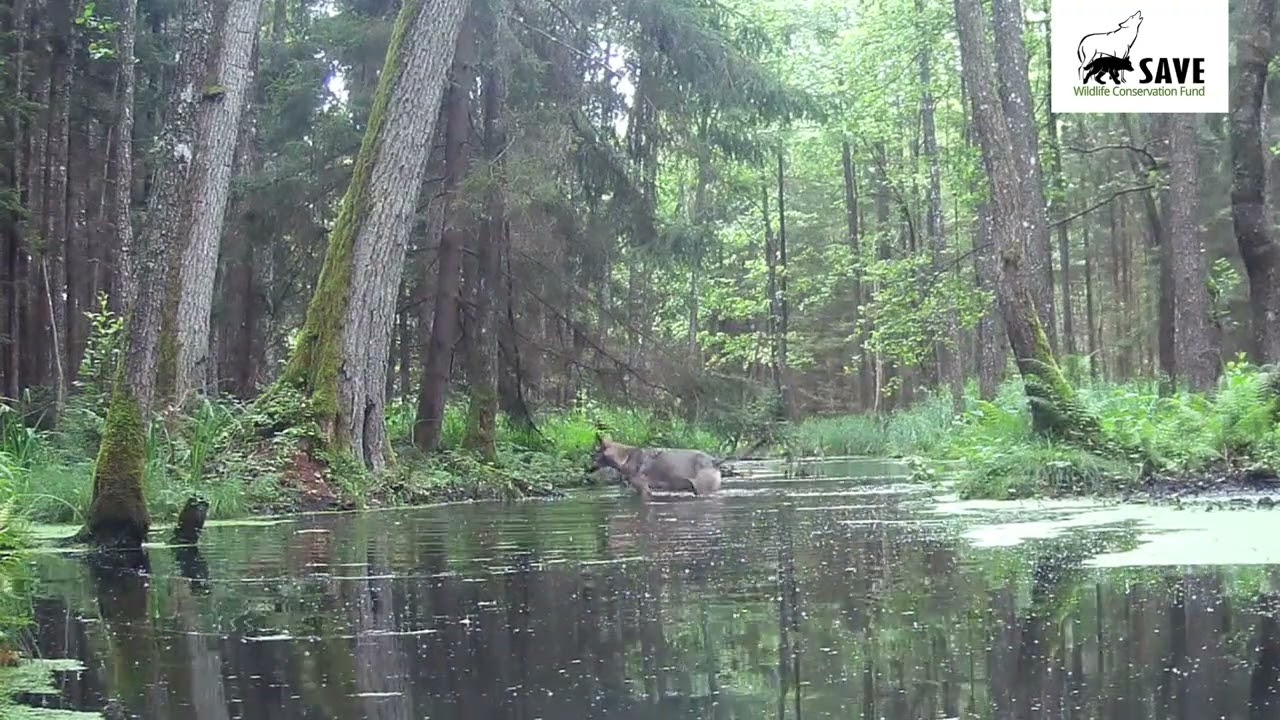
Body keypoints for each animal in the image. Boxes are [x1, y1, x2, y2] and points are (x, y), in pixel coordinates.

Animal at [589, 434, 724, 498]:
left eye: (593, 455)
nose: (588, 469)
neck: (626, 457)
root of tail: (714, 461)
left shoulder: (644, 489)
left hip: (703, 490)